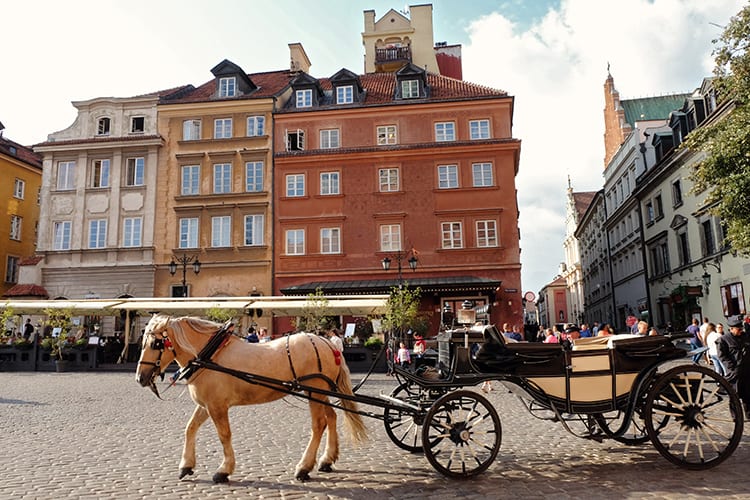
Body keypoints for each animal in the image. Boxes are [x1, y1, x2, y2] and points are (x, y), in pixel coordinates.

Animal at [137, 314, 372, 482]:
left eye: (155, 344)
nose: (140, 377)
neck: (210, 356)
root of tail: (328, 343)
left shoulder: (217, 406)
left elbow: (224, 435)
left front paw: (224, 470)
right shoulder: (206, 405)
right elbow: (190, 428)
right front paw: (186, 465)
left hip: (315, 390)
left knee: (319, 424)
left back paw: (304, 467)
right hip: (320, 392)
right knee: (332, 417)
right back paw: (327, 459)